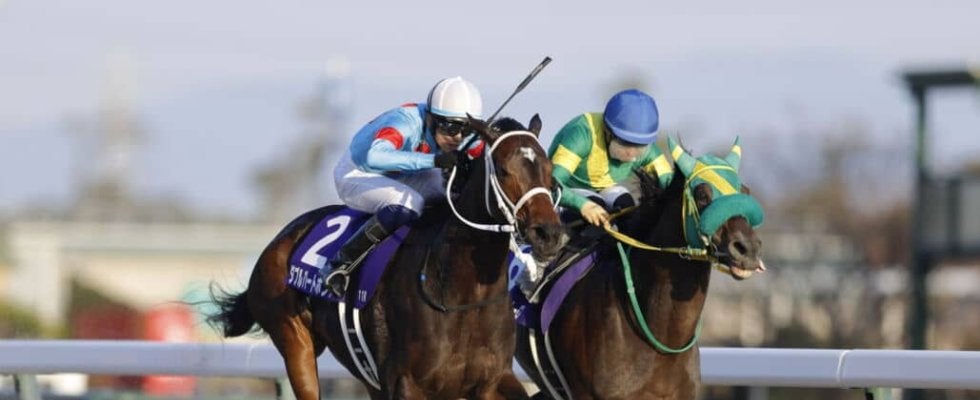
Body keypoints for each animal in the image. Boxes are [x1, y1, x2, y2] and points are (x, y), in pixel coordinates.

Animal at [209, 115, 568, 400]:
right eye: (505, 170)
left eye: (550, 171)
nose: (548, 233)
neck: (462, 295)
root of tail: (281, 239)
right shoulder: (407, 383)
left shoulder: (492, 381)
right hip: (294, 341)